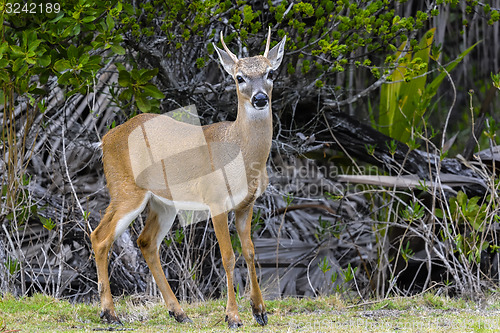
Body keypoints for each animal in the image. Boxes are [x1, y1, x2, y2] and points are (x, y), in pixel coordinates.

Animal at [89, 27, 286, 326]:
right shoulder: (216, 200)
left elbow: (250, 252)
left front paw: (260, 311)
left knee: (146, 242)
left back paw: (178, 312)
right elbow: (228, 256)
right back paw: (110, 314)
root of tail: (106, 139)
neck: (240, 153)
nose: (260, 98)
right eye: (239, 77)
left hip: (163, 203)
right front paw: (233, 316)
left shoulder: (246, 204)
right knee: (100, 237)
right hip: (125, 190)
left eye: (271, 73)